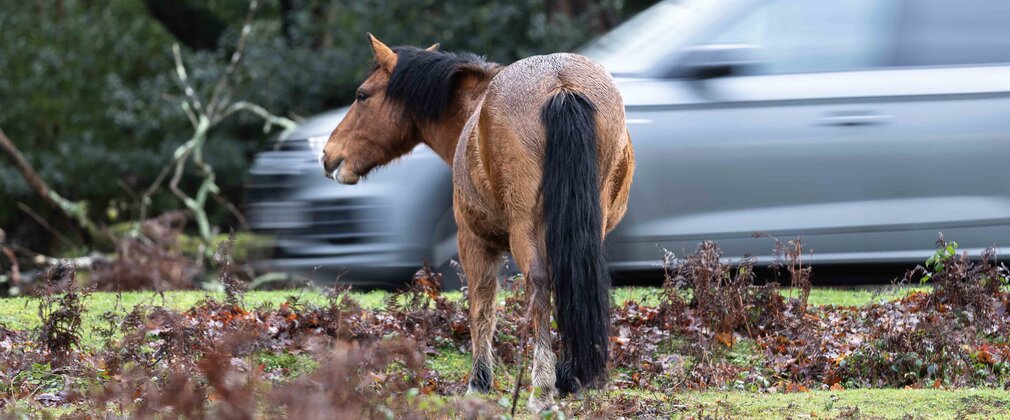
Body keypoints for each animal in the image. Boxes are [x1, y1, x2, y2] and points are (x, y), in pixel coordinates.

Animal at [320, 34, 634, 412]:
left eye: (362, 95)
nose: (328, 155)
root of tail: (560, 85)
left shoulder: (473, 242)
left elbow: (481, 308)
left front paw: (479, 381)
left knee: (538, 285)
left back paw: (541, 389)